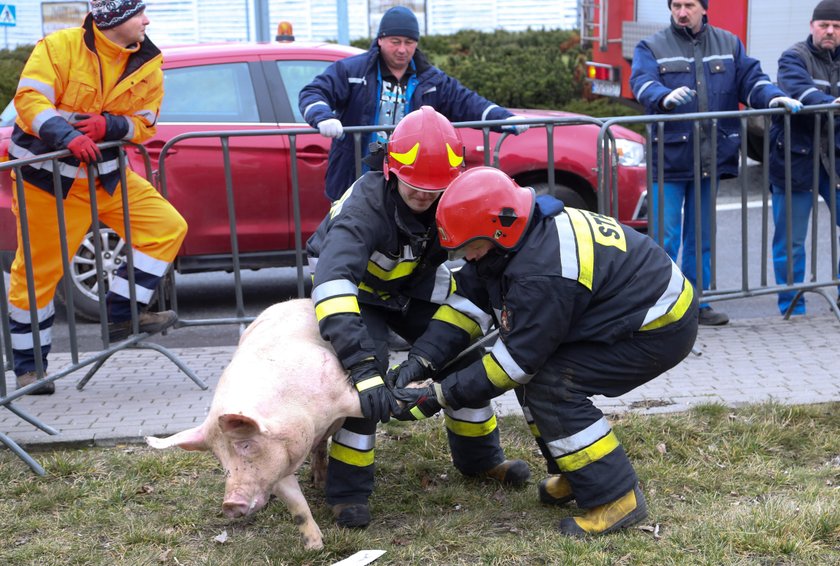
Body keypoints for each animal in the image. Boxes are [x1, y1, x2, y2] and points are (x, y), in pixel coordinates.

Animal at [145, 300, 360, 552]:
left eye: (246, 444)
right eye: (219, 456)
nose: (229, 504)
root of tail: (295, 301)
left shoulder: (342, 393)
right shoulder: (277, 465)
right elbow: (297, 506)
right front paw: (314, 547)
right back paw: (317, 483)